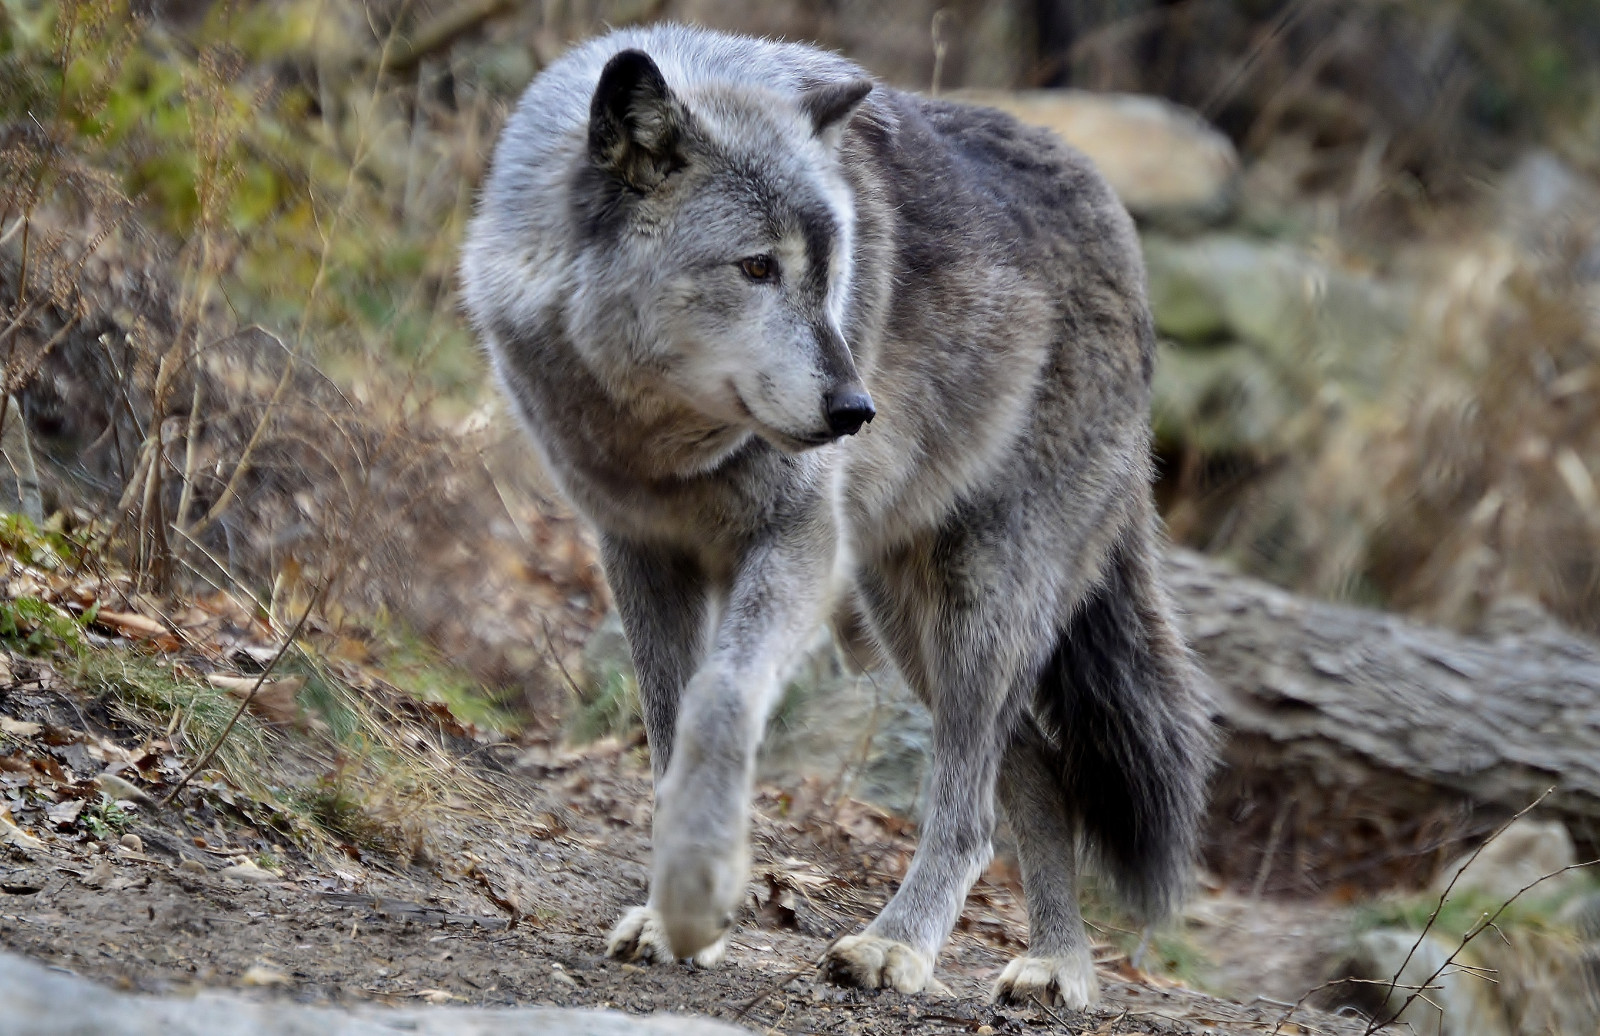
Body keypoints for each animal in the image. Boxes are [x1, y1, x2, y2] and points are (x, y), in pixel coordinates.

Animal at [460, 24, 1214, 1008]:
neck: (660, 441)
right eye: (757, 267)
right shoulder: (639, 553)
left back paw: (900, 947)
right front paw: (670, 912)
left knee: (970, 811)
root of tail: (1120, 221)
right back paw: (1058, 963)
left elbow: (719, 703)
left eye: (830, 276)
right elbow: (667, 735)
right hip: (908, 625)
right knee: (1036, 775)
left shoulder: (798, 543)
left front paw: (699, 899)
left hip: (979, 605)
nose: (857, 411)